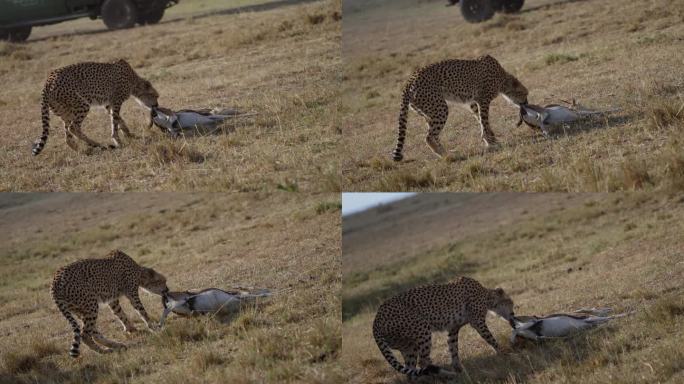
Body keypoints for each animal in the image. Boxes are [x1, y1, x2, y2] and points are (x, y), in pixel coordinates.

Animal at [374, 276, 512, 378]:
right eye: (510, 302)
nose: (513, 313)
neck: (486, 296)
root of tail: (375, 320)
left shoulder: (453, 329)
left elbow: (453, 348)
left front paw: (459, 369)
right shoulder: (477, 322)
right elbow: (491, 339)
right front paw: (505, 352)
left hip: (408, 347)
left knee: (411, 370)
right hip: (422, 328)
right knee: (423, 361)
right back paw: (446, 375)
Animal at [390, 54, 528, 161]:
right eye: (525, 94)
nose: (526, 103)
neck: (502, 78)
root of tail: (408, 82)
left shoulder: (473, 102)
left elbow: (481, 120)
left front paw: (491, 139)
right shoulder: (483, 100)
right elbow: (484, 121)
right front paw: (491, 142)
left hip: (429, 112)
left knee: (434, 134)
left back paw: (445, 152)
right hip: (440, 108)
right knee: (429, 137)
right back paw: (445, 155)